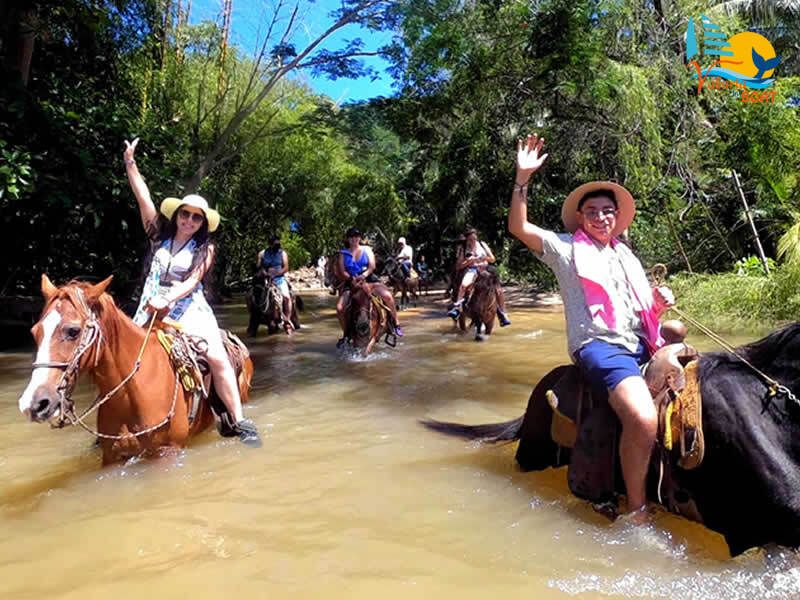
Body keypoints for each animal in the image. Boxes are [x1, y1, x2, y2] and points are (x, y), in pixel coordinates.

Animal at [17, 275, 254, 465]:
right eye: (35, 331)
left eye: (73, 331)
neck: (133, 391)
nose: (33, 404)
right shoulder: (111, 457)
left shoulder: (167, 452)